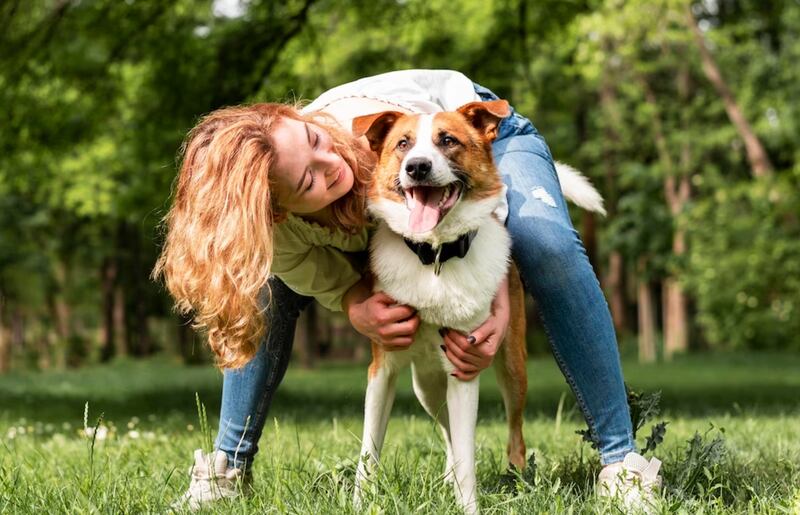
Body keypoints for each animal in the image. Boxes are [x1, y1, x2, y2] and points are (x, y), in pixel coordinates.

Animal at [354, 102, 604, 515]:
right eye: (403, 144)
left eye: (448, 140)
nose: (417, 167)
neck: (435, 257)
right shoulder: (382, 369)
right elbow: (368, 451)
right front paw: (361, 503)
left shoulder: (465, 367)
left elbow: (468, 456)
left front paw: (467, 505)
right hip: (426, 386)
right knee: (448, 434)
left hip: (512, 368)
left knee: (513, 436)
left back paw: (516, 482)